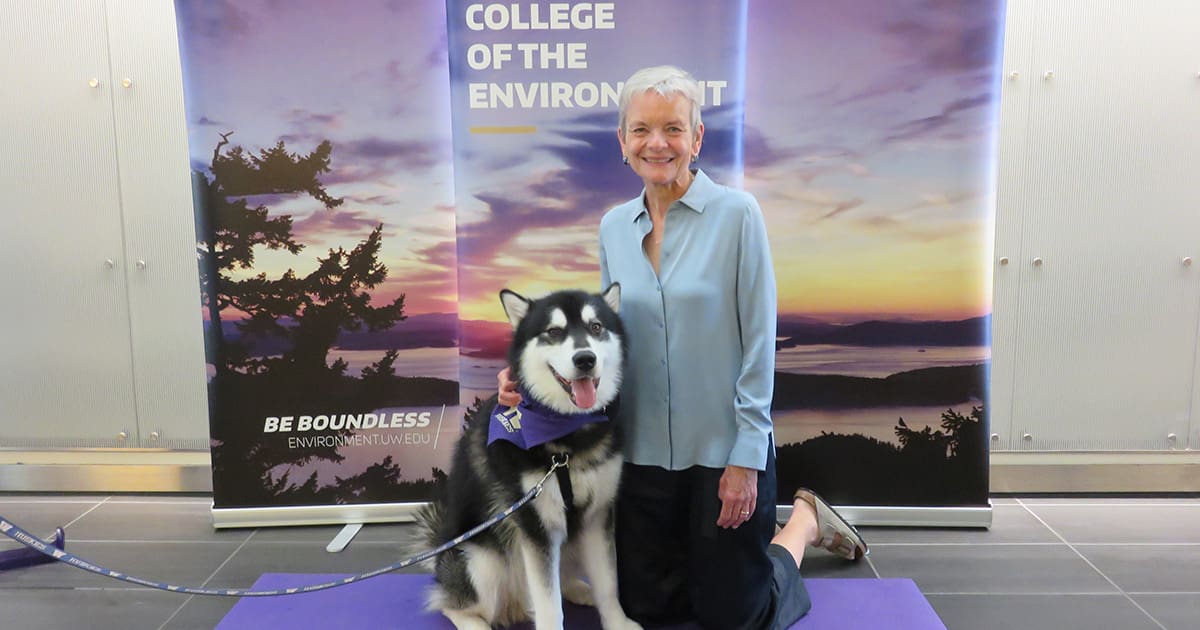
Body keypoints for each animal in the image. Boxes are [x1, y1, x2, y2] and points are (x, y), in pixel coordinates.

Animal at [415, 284, 643, 628]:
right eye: (554, 332)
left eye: (596, 327)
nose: (585, 359)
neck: (565, 441)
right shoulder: (536, 524)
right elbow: (549, 604)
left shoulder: (598, 514)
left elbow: (608, 584)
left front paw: (617, 622)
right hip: (481, 560)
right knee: (451, 603)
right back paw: (474, 622)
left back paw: (579, 589)